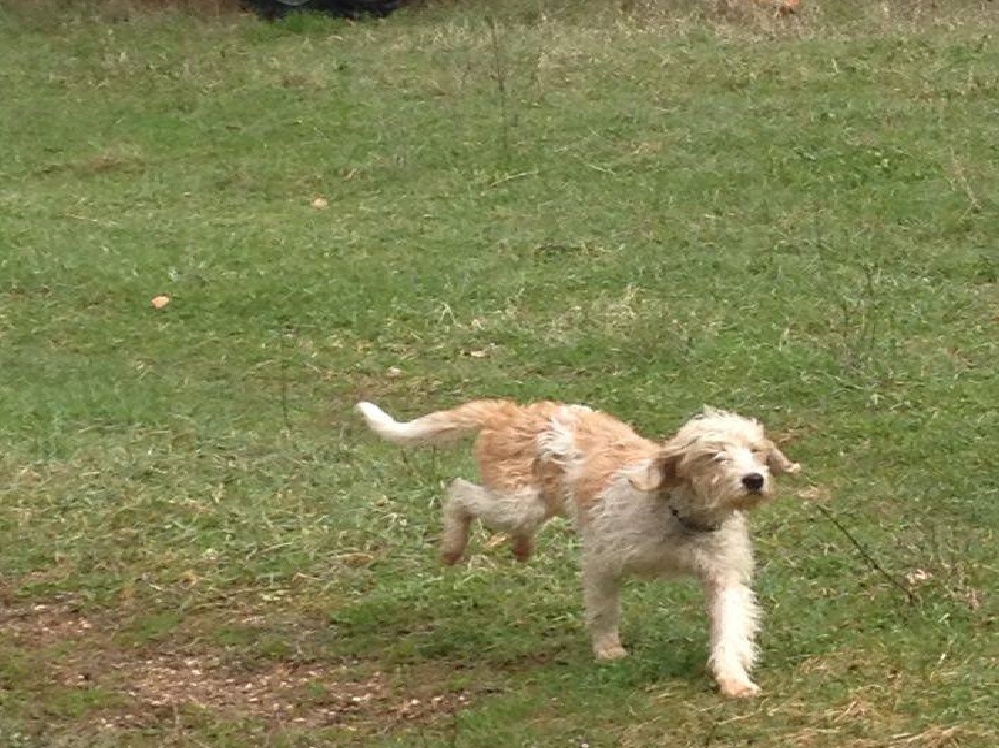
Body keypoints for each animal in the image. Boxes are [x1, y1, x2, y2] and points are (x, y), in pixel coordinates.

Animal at [356, 400, 800, 700]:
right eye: (713, 456)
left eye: (757, 451)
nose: (754, 479)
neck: (679, 517)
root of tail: (515, 412)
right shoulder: (604, 559)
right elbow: (603, 609)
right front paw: (607, 650)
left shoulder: (724, 577)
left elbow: (730, 629)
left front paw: (733, 680)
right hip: (518, 502)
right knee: (460, 492)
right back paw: (453, 545)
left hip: (536, 503)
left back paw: (520, 547)